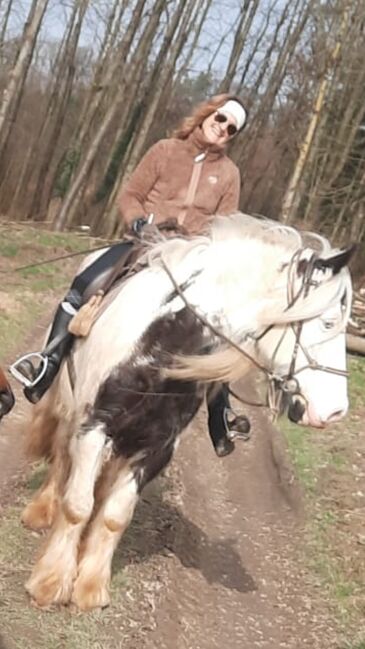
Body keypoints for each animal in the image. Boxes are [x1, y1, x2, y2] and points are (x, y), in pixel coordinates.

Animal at [21, 215, 352, 612]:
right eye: (328, 322)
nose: (335, 411)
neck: (162, 343)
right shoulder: (94, 426)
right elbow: (77, 506)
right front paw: (51, 582)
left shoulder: (156, 447)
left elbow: (115, 516)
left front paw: (91, 588)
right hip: (68, 403)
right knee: (60, 452)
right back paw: (42, 510)